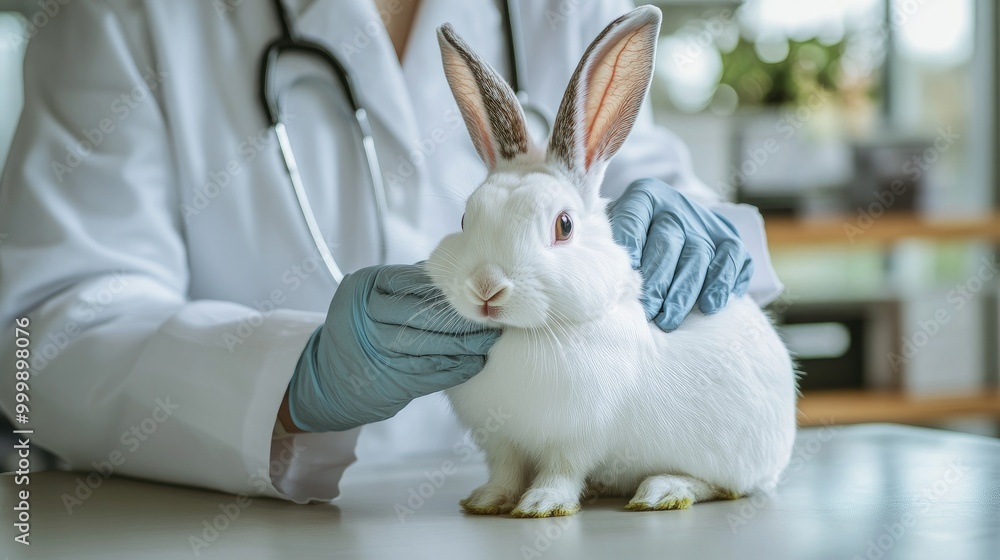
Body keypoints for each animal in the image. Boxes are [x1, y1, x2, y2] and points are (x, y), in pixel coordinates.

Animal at [425, 5, 797, 518]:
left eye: (564, 225)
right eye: (465, 219)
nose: (486, 287)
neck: (529, 334)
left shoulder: (576, 438)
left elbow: (561, 471)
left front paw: (541, 504)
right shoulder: (501, 443)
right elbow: (504, 472)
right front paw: (486, 501)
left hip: (735, 459)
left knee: (724, 487)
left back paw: (662, 491)